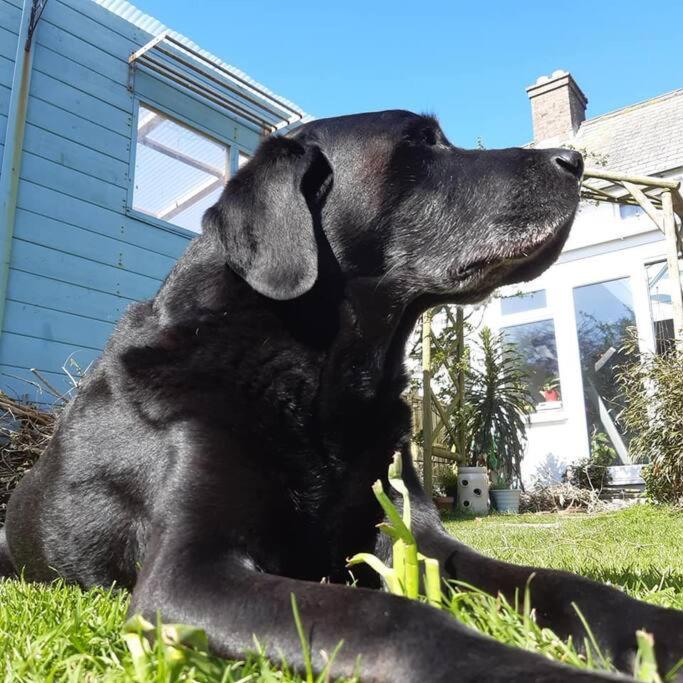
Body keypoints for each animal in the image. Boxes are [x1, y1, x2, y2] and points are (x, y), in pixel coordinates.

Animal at [1, 112, 683, 683]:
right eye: (419, 143)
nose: (575, 160)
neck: (319, 380)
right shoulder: (185, 574)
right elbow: (389, 617)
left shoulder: (415, 537)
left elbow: (554, 581)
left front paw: (657, 631)